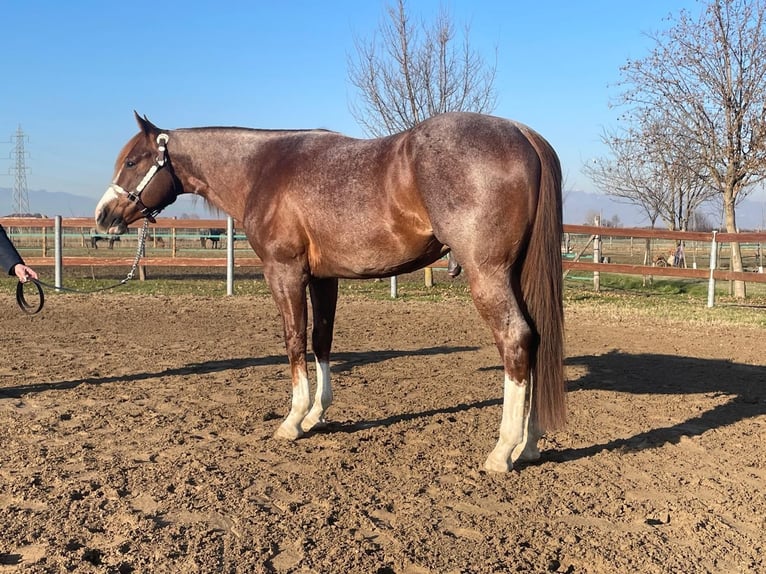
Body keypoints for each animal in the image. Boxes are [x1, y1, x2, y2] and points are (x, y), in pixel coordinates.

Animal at [94, 111, 564, 472]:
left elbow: (294, 341)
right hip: (517, 275)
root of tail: (521, 132)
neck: (262, 169)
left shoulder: (284, 272)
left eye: (133, 161)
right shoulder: (323, 278)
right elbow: (322, 340)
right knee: (537, 339)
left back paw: (503, 451)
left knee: (516, 340)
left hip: (488, 275)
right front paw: (317, 414)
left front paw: (293, 420)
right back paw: (531, 444)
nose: (103, 215)